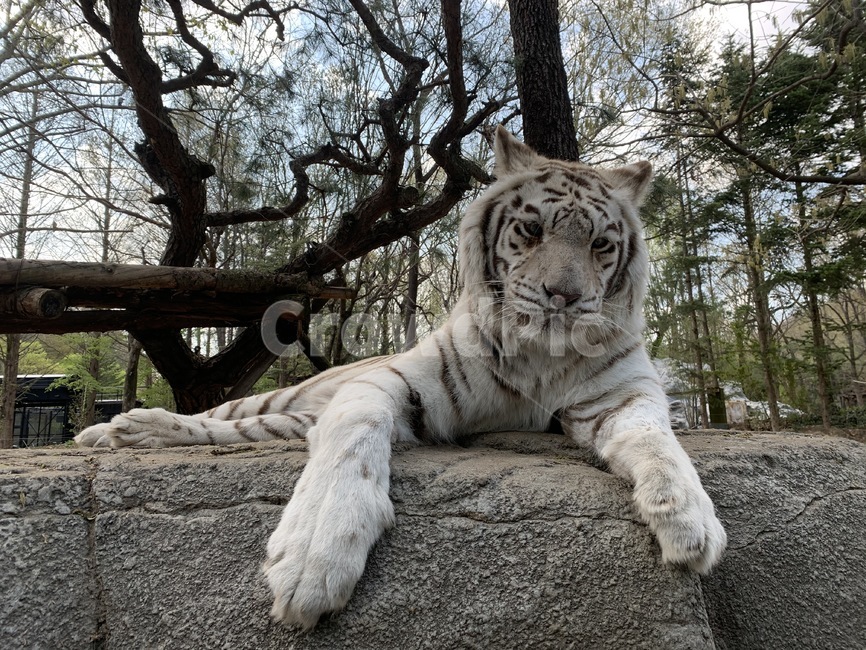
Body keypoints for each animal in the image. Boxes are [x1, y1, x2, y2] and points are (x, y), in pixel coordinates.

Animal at [75, 126, 727, 629]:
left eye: (600, 244)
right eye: (532, 230)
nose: (563, 298)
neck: (539, 356)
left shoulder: (622, 394)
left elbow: (655, 441)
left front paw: (689, 519)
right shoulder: (396, 384)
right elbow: (352, 438)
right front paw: (315, 555)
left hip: (288, 417)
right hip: (281, 395)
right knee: (215, 415)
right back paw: (115, 430)